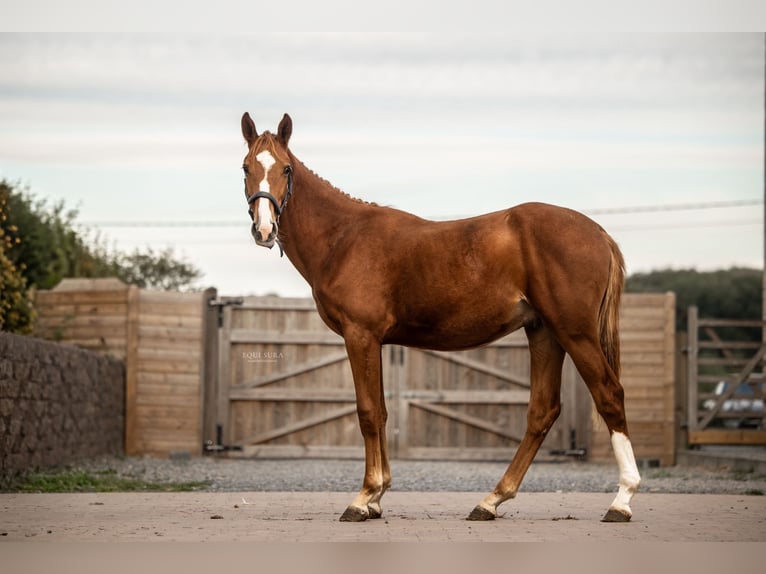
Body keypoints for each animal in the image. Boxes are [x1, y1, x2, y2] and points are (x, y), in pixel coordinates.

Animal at [240, 112, 641, 524]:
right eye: (246, 168)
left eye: (286, 168)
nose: (264, 229)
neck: (344, 238)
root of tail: (599, 232)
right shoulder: (374, 341)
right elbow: (382, 412)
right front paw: (377, 497)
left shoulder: (360, 335)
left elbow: (367, 412)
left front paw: (363, 497)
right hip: (544, 332)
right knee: (542, 411)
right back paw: (491, 500)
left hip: (575, 333)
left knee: (609, 395)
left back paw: (621, 500)